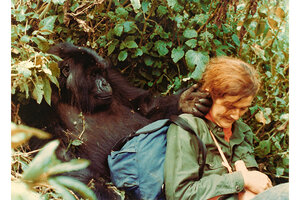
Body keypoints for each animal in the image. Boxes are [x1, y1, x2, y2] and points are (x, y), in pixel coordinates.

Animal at [18, 43, 211, 199]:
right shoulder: (37, 101)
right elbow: (58, 158)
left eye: (102, 73)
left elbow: (145, 108)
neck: (67, 93)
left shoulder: (114, 77)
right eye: (93, 74)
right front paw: (106, 193)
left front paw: (185, 102)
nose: (104, 83)